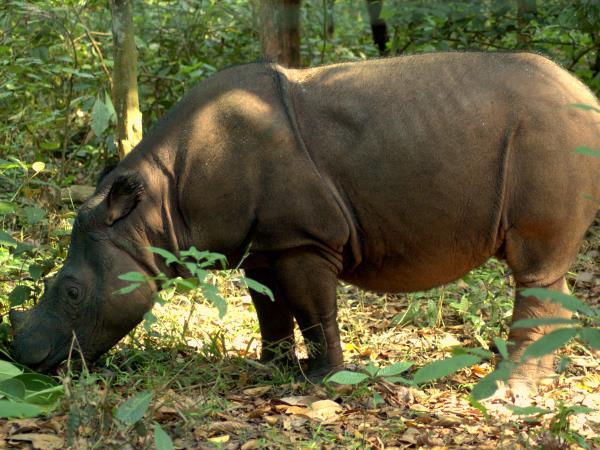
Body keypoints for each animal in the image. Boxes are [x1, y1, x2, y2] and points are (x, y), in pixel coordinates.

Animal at [9, 53, 600, 398]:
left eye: (71, 291)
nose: (23, 357)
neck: (149, 214)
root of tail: (586, 95)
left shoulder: (304, 238)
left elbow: (315, 310)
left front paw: (320, 383)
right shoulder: (263, 242)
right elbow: (268, 308)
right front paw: (269, 369)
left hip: (553, 133)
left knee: (534, 269)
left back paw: (508, 391)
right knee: (548, 274)